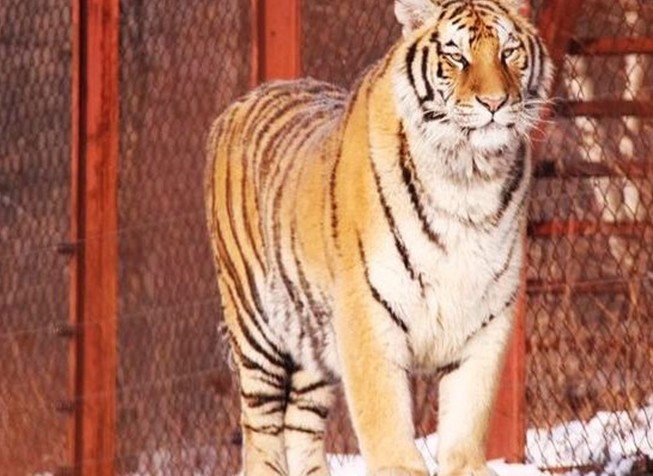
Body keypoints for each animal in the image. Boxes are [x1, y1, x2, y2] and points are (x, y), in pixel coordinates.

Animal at [205, 0, 553, 475]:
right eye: (457, 56)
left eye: (509, 51)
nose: (495, 103)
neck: (467, 177)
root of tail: (247, 97)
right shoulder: (367, 314)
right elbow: (386, 428)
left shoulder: (486, 320)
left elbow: (465, 429)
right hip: (257, 329)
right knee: (260, 432)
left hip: (311, 339)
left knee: (301, 427)